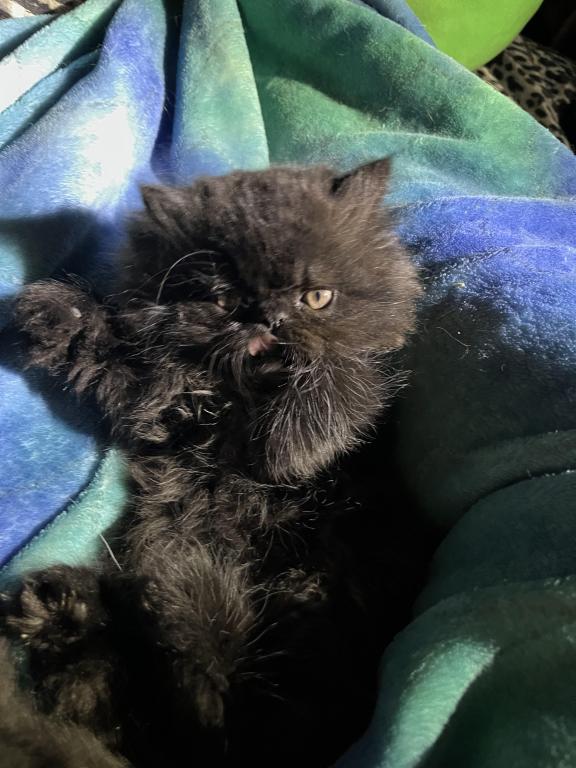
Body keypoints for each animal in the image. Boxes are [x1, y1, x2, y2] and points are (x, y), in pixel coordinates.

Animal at [1, 158, 422, 767]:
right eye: (223, 302)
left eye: (317, 297)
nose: (266, 319)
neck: (244, 401)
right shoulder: (151, 397)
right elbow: (104, 348)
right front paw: (56, 310)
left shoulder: (371, 389)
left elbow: (344, 378)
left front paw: (290, 451)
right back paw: (61, 609)